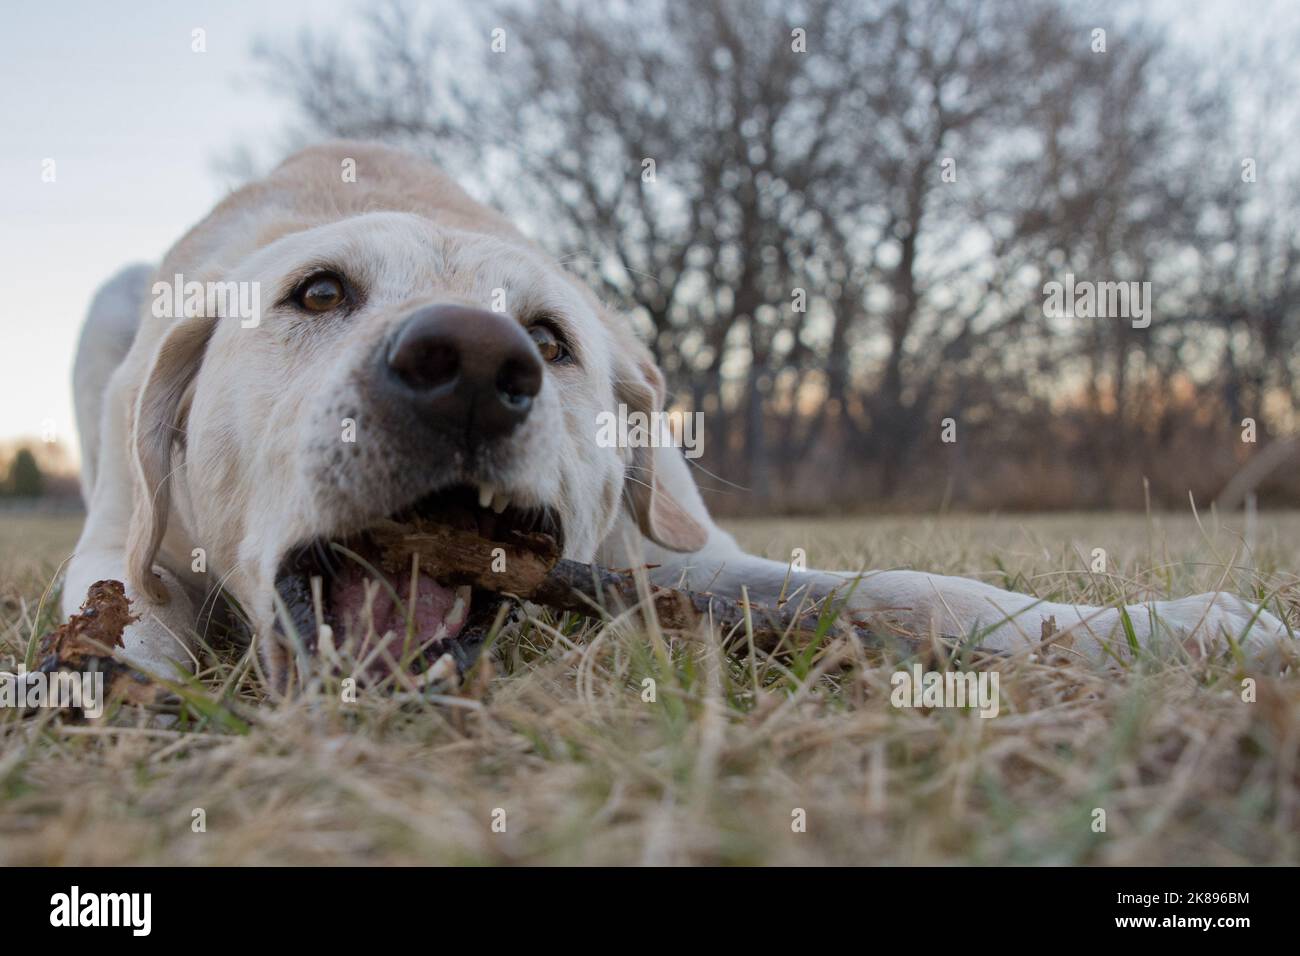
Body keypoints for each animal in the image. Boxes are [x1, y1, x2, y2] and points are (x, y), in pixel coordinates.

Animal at [68, 138, 1289, 686]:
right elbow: (119, 605)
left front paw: (1164, 626)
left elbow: (914, 586)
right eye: (317, 294)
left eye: (550, 339)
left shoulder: (668, 554)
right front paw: (109, 684)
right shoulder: (127, 545)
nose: (472, 365)